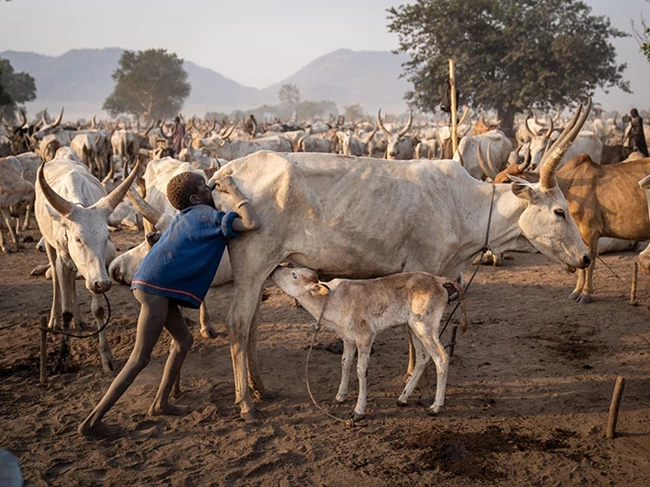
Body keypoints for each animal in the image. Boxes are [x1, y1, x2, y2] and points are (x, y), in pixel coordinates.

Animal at [270, 264, 466, 422]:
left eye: (294, 274)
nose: (276, 268)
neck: (330, 300)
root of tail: (438, 280)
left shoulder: (365, 335)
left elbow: (360, 369)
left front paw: (359, 410)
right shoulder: (348, 338)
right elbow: (345, 363)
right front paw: (340, 396)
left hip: (425, 326)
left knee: (441, 357)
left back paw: (435, 406)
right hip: (413, 327)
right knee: (423, 358)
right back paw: (402, 398)